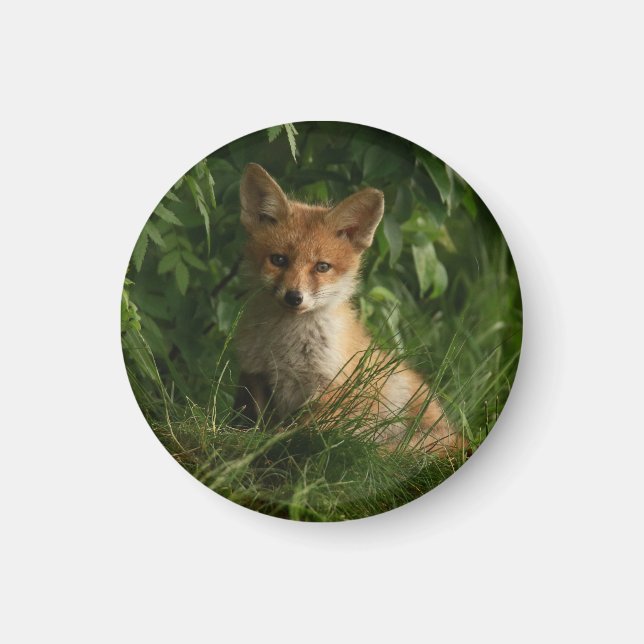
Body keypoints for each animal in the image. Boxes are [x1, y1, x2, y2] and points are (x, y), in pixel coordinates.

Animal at [233, 163, 466, 456]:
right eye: (278, 260)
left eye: (322, 267)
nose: (294, 297)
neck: (285, 346)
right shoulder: (256, 374)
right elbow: (257, 422)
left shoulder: (332, 387)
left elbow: (300, 431)